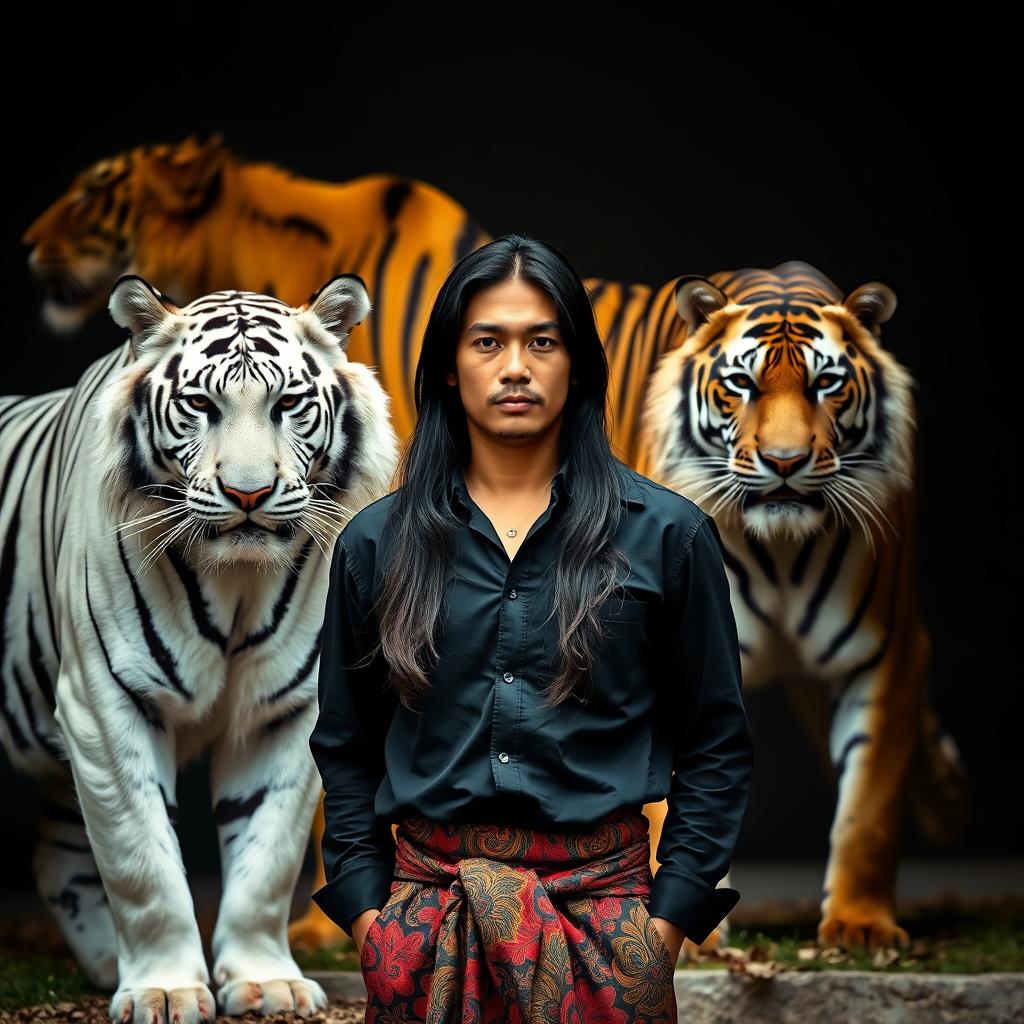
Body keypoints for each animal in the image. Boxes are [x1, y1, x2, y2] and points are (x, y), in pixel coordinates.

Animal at [0, 274, 399, 1024]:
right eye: (200, 405)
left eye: (288, 404)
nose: (249, 493)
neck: (236, 582)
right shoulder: (105, 704)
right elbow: (142, 862)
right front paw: (163, 988)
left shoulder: (291, 710)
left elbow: (266, 861)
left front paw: (265, 982)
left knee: (56, 855)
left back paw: (107, 964)